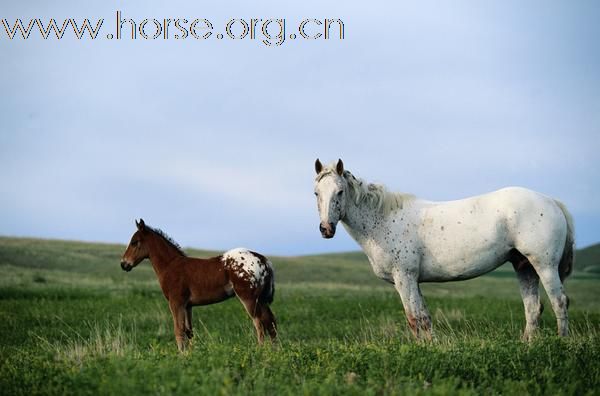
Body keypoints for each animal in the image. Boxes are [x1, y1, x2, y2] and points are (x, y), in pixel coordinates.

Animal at [312, 159, 576, 340]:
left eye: (340, 191)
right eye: (316, 193)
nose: (326, 229)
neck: (384, 220)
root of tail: (552, 202)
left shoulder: (404, 278)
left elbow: (413, 318)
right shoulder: (414, 281)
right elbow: (424, 318)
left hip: (544, 265)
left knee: (559, 302)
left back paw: (561, 342)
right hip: (524, 267)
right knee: (533, 308)